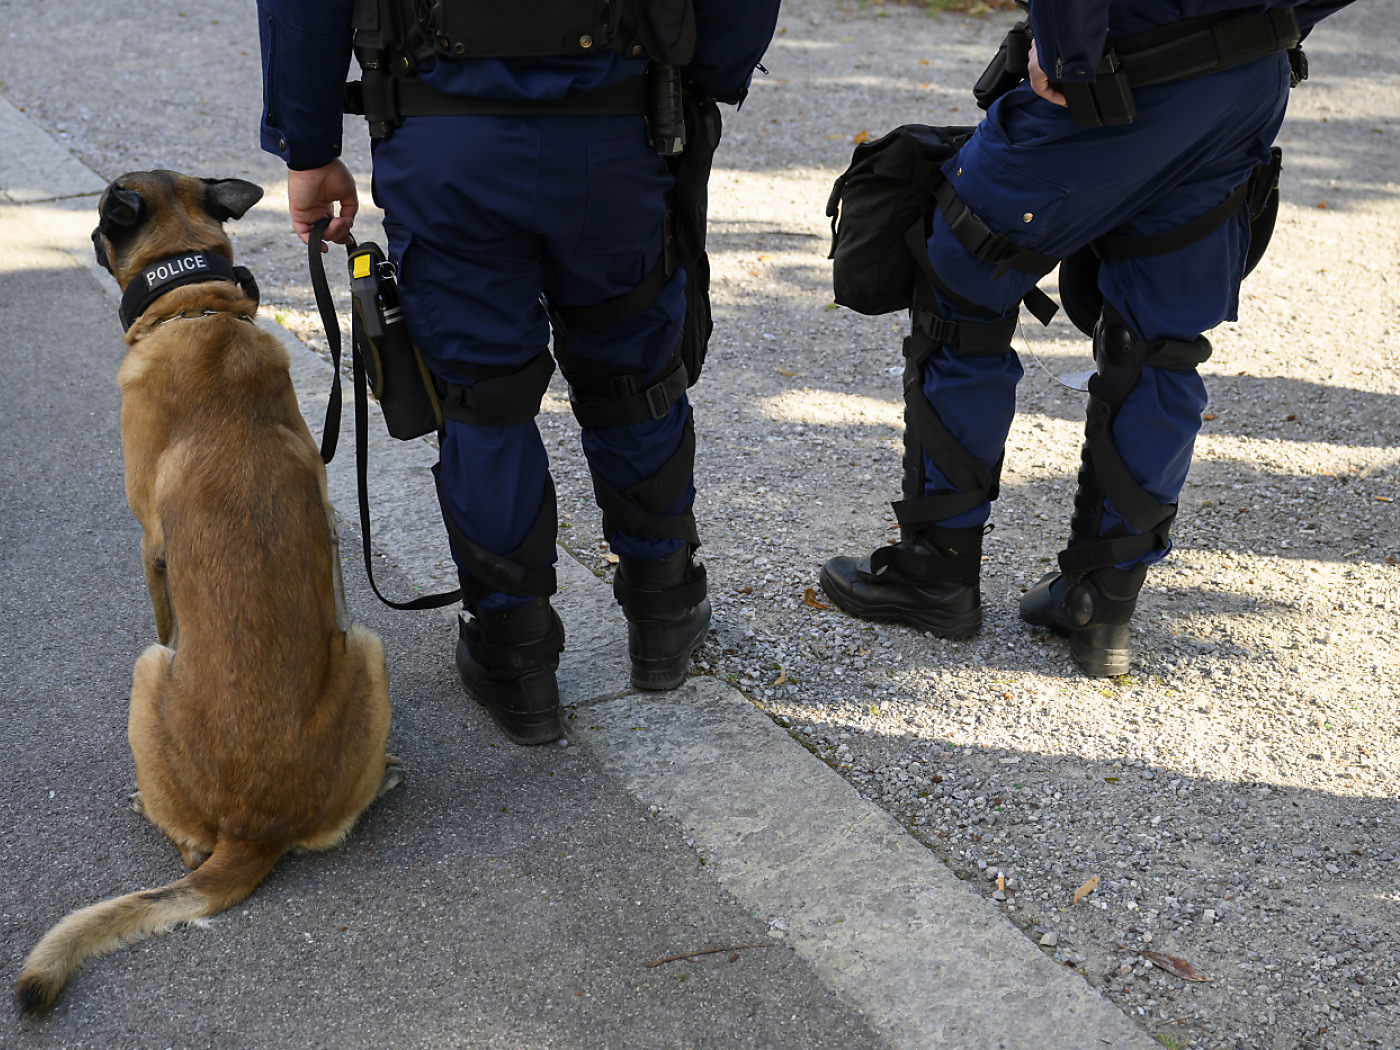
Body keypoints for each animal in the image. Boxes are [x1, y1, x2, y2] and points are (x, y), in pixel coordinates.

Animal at [16, 172, 400, 1019]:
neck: (198, 307)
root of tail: (254, 830)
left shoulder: (149, 549)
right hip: (363, 648)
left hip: (149, 672)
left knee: (189, 839)